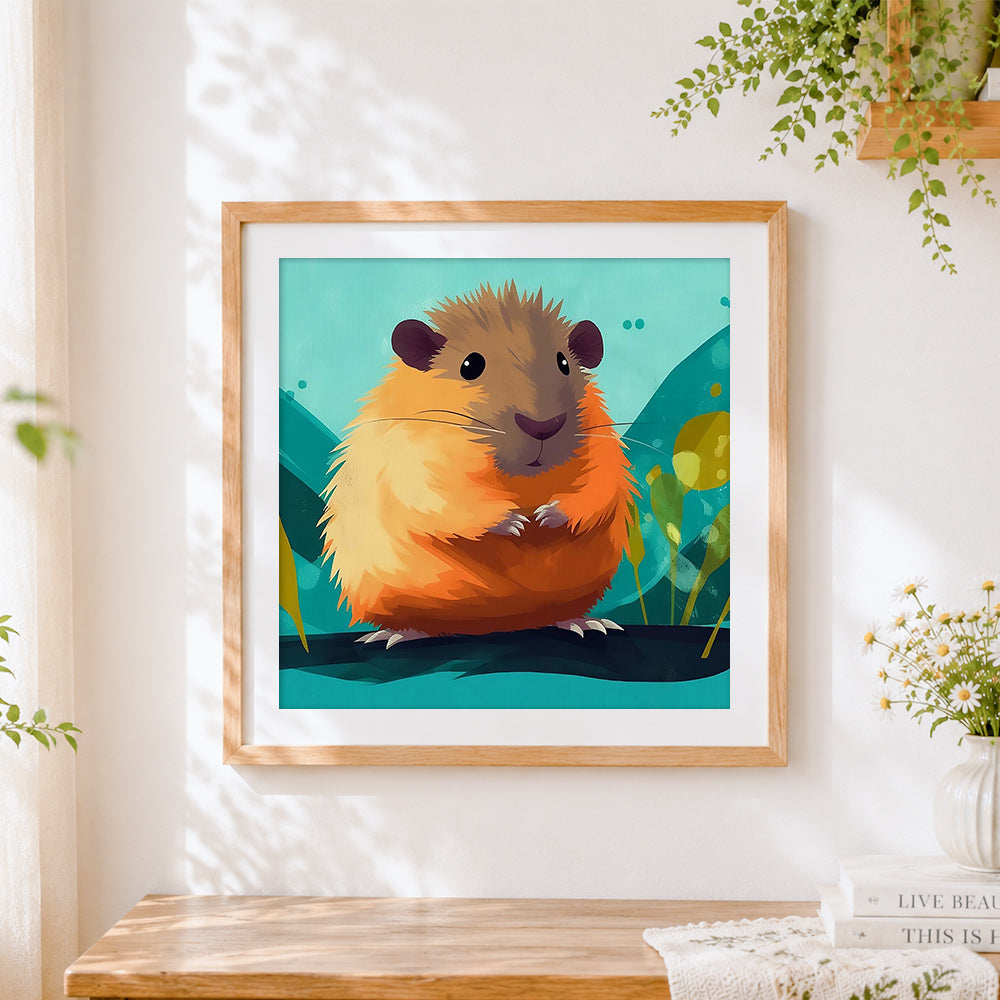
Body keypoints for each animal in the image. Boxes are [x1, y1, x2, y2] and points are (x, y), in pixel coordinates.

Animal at [319, 281, 636, 646]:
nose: (544, 427)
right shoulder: (409, 458)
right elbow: (441, 500)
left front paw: (548, 515)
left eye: (564, 363)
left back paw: (585, 623)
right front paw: (514, 522)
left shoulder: (603, 445)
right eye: (470, 366)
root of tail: (491, 626)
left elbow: (598, 490)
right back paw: (395, 635)